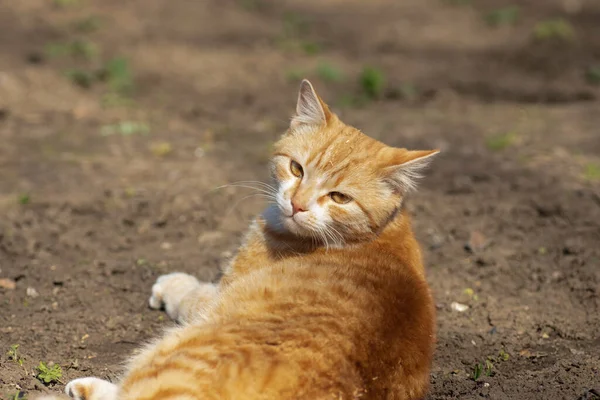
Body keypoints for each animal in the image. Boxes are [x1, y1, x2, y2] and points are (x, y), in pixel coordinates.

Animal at [39, 79, 438, 398]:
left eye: (339, 197)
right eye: (296, 168)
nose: (297, 204)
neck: (373, 235)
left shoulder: (219, 293)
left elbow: (192, 294)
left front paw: (172, 286)